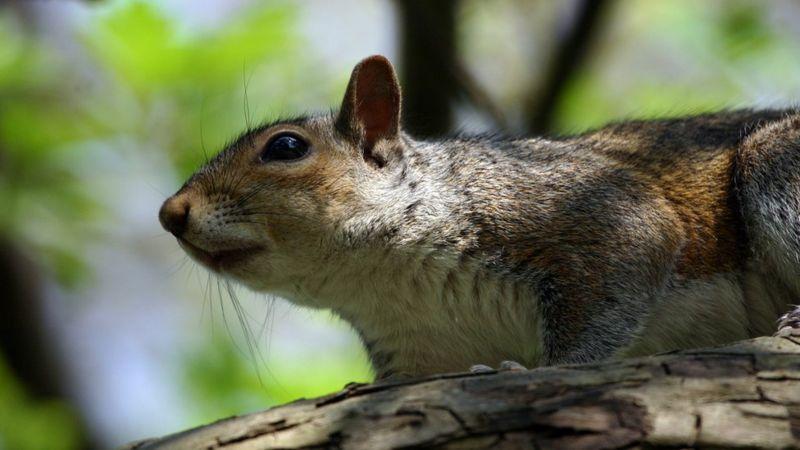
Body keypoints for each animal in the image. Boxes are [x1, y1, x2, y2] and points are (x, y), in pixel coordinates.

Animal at [159, 55, 800, 380]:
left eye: (286, 147)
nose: (170, 213)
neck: (388, 281)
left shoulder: (595, 214)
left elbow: (616, 285)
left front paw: (539, 369)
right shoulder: (415, 355)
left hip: (778, 166)